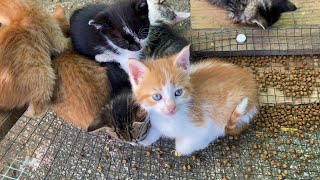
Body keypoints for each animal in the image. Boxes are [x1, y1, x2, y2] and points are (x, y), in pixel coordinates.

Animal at [126, 45, 258, 155]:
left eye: (178, 92)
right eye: (157, 96)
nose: (171, 107)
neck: (169, 119)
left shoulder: (203, 124)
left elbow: (188, 143)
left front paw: (187, 147)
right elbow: (156, 129)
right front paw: (147, 140)